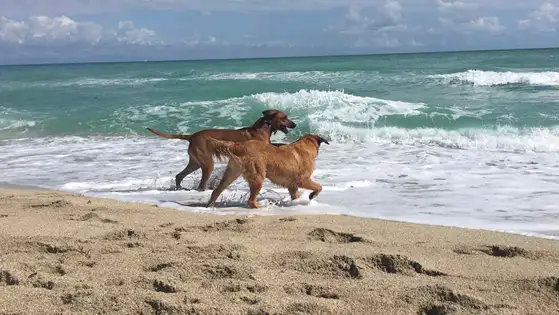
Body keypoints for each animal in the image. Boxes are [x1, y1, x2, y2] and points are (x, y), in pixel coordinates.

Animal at [148, 110, 298, 191]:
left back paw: (179, 188)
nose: (295, 125)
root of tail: (192, 136)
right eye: (284, 117)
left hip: (195, 162)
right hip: (207, 163)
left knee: (179, 175)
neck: (265, 127)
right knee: (201, 183)